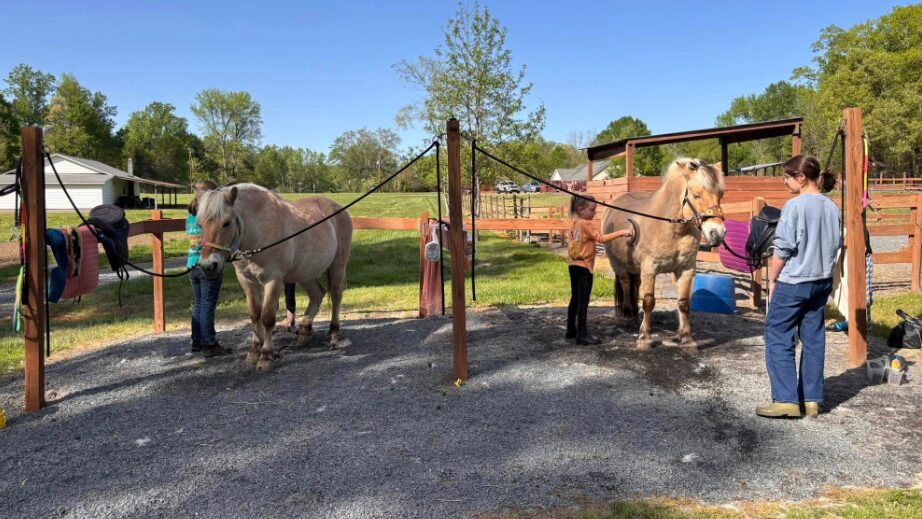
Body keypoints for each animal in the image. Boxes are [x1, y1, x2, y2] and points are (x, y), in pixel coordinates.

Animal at [195, 184, 352, 372]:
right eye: (199, 224)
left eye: (227, 222)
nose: (208, 266)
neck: (258, 234)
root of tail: (339, 209)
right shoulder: (247, 280)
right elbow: (254, 315)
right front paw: (254, 351)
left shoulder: (273, 280)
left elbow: (268, 317)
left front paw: (266, 356)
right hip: (305, 273)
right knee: (317, 294)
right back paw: (304, 332)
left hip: (338, 266)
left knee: (335, 296)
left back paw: (334, 334)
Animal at [600, 158, 726, 350]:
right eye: (696, 195)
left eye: (720, 194)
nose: (717, 234)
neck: (672, 229)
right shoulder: (650, 269)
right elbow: (649, 302)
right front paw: (644, 338)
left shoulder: (686, 269)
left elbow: (684, 303)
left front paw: (687, 338)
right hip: (618, 264)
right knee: (626, 284)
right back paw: (628, 315)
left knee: (635, 284)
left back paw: (635, 314)